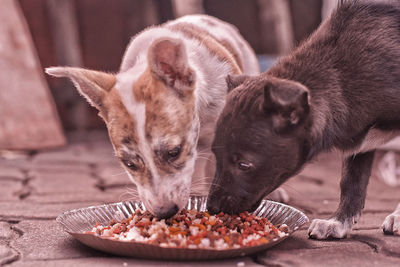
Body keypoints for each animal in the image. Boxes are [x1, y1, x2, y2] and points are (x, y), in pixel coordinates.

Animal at [206, 1, 400, 240]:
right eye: (216, 155)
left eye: (244, 165)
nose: (212, 208)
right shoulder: (360, 136)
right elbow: (352, 181)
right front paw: (338, 222)